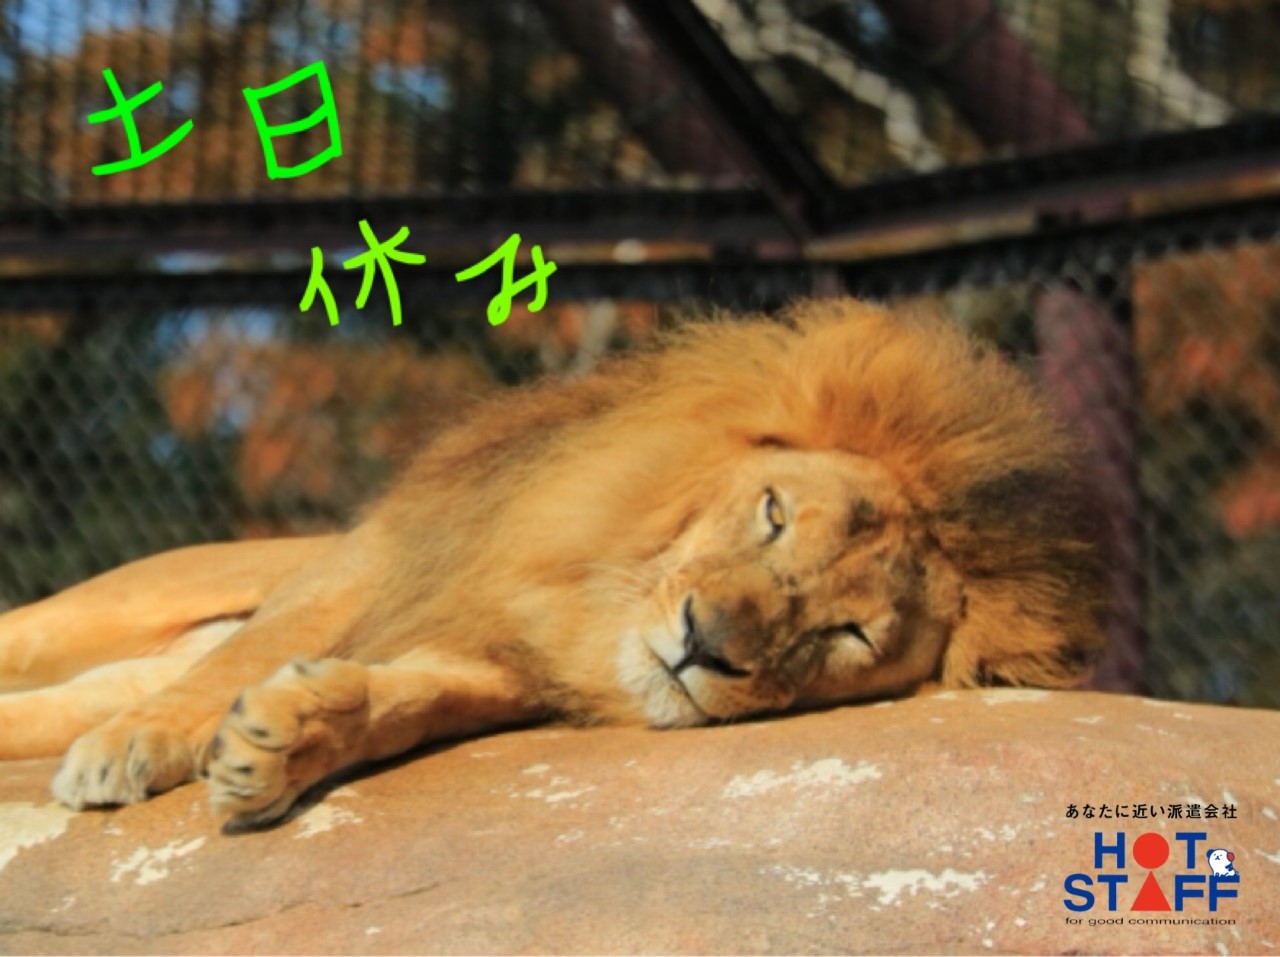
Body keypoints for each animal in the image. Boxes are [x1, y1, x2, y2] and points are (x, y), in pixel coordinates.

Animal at [0, 299, 1107, 830]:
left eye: (847, 635)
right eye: (773, 513)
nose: (704, 643)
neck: (592, 601)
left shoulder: (503, 667)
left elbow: (405, 703)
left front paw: (287, 739)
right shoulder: (370, 568)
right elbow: (240, 659)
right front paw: (141, 746)